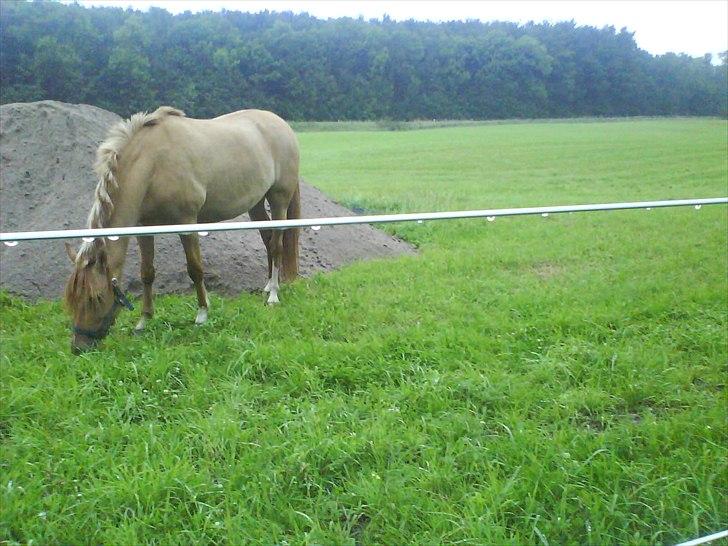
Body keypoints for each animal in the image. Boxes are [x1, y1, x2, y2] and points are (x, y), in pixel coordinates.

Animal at [63, 106, 302, 352]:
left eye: (97, 298)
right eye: (72, 299)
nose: (78, 347)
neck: (153, 164)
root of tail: (281, 123)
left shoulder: (187, 223)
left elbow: (195, 268)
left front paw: (202, 314)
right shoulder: (144, 228)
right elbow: (147, 272)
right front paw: (144, 320)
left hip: (279, 199)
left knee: (276, 246)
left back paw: (273, 294)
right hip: (256, 204)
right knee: (267, 241)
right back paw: (268, 285)